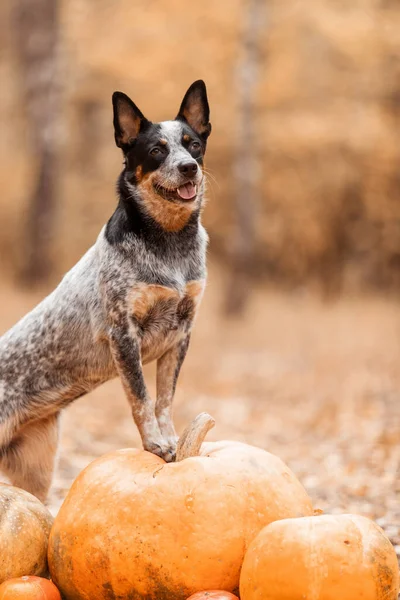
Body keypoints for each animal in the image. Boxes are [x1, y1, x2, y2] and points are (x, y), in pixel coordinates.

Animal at [0, 79, 212, 502]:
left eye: (193, 143)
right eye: (156, 150)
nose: (189, 167)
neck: (169, 243)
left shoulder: (181, 332)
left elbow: (165, 399)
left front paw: (172, 442)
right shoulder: (123, 332)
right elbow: (142, 399)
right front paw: (155, 445)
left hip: (38, 467)